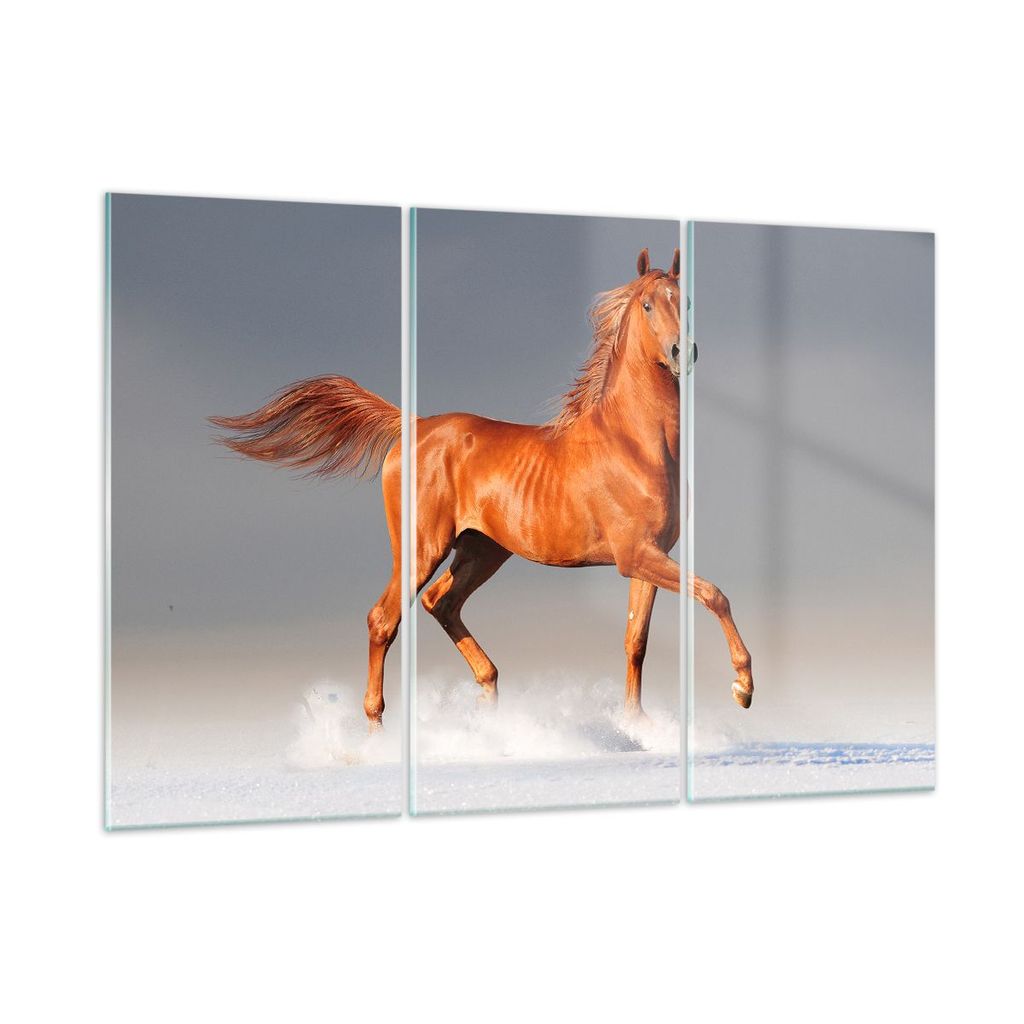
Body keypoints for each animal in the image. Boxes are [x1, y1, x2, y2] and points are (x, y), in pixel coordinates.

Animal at [210, 248, 753, 731]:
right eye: (647, 305)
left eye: (686, 301)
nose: (685, 352)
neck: (636, 443)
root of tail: (413, 424)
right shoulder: (634, 555)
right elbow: (715, 594)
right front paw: (743, 687)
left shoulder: (650, 557)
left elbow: (635, 640)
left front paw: (636, 724)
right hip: (422, 549)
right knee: (384, 619)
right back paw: (378, 732)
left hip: (482, 550)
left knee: (441, 603)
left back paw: (489, 700)